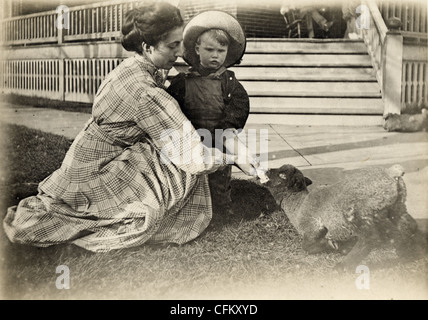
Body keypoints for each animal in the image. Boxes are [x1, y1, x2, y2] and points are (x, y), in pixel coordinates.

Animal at [262, 164, 426, 272]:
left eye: (282, 175)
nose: (267, 170)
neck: (298, 205)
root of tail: (392, 173)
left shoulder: (312, 228)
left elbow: (306, 246)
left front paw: (331, 245)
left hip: (357, 212)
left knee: (371, 238)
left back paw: (343, 266)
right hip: (395, 207)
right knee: (408, 226)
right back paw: (408, 254)